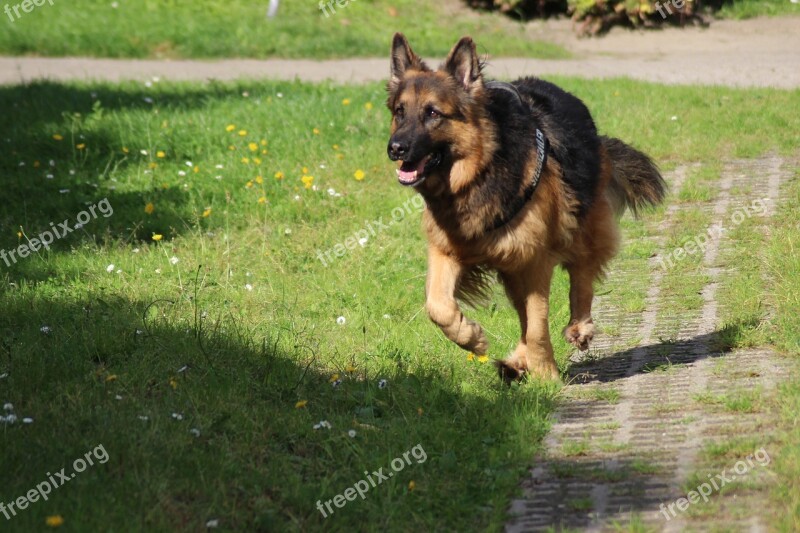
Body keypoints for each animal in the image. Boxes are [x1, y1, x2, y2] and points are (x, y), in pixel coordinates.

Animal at [384, 33, 664, 380]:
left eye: (433, 113)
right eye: (400, 111)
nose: (395, 148)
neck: (481, 172)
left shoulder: (534, 261)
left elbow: (537, 325)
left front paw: (546, 375)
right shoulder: (447, 250)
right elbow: (437, 306)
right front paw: (471, 338)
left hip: (580, 229)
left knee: (582, 273)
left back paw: (578, 326)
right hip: (511, 265)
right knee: (521, 313)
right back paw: (517, 360)